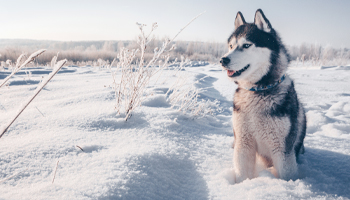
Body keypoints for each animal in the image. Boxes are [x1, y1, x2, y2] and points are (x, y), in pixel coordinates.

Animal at [221, 9, 306, 183]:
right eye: (231, 46)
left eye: (246, 45)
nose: (223, 59)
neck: (258, 90)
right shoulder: (243, 143)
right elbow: (242, 173)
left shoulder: (282, 149)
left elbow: (286, 176)